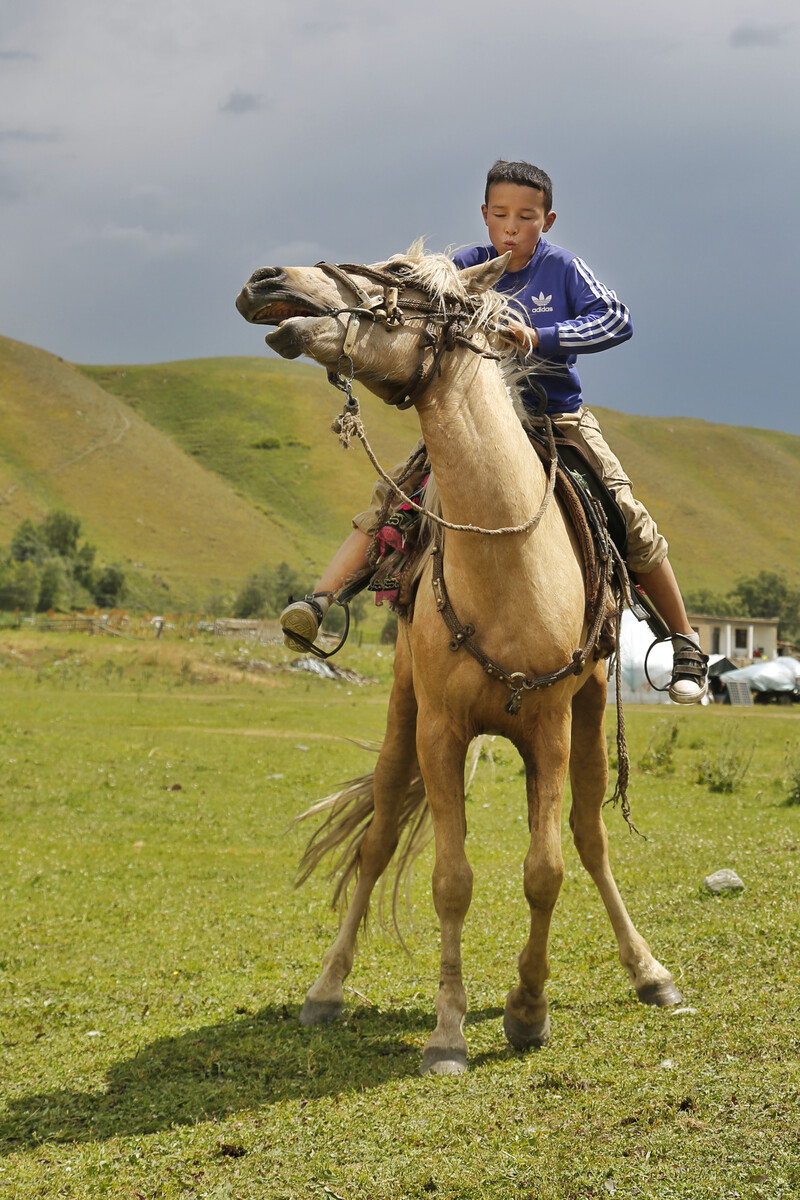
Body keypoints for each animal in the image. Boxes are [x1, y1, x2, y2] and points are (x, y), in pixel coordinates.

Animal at [235, 248, 681, 1075]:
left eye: (402, 280)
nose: (266, 281)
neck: (507, 558)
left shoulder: (549, 728)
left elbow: (546, 871)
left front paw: (528, 1011)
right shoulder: (439, 731)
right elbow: (451, 880)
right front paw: (448, 1033)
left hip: (589, 712)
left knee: (590, 838)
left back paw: (649, 972)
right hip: (401, 714)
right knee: (377, 839)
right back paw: (326, 989)